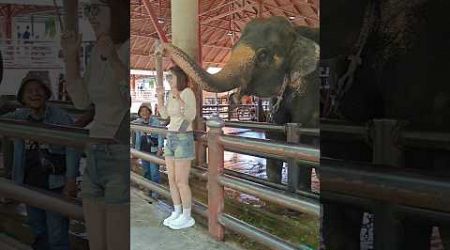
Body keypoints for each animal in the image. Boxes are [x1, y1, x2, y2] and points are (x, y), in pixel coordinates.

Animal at [163, 16, 322, 189]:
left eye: (263, 55)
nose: (161, 46)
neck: (296, 33)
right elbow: (275, 138)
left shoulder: (312, 90)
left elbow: (304, 143)